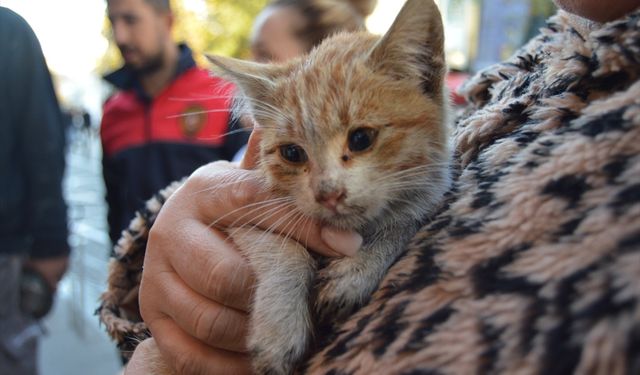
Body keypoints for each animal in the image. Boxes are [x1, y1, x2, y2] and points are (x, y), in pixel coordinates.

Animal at [150, 0, 450, 374]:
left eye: (361, 138)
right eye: (292, 153)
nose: (328, 193)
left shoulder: (429, 192)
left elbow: (404, 222)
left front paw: (358, 269)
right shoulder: (248, 213)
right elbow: (283, 249)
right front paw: (279, 328)